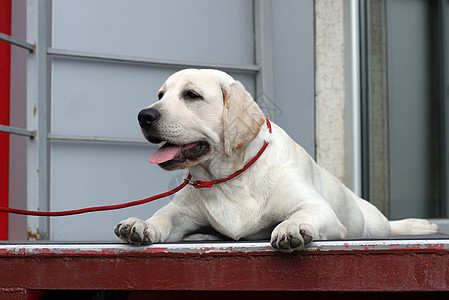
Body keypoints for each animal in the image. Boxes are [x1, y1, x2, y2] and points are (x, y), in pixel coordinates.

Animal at [114, 69, 438, 252]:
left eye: (191, 95)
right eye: (160, 94)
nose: (144, 116)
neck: (230, 177)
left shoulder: (317, 208)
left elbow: (301, 214)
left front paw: (291, 227)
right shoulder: (181, 211)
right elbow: (163, 216)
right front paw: (141, 224)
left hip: (372, 224)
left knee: (389, 227)